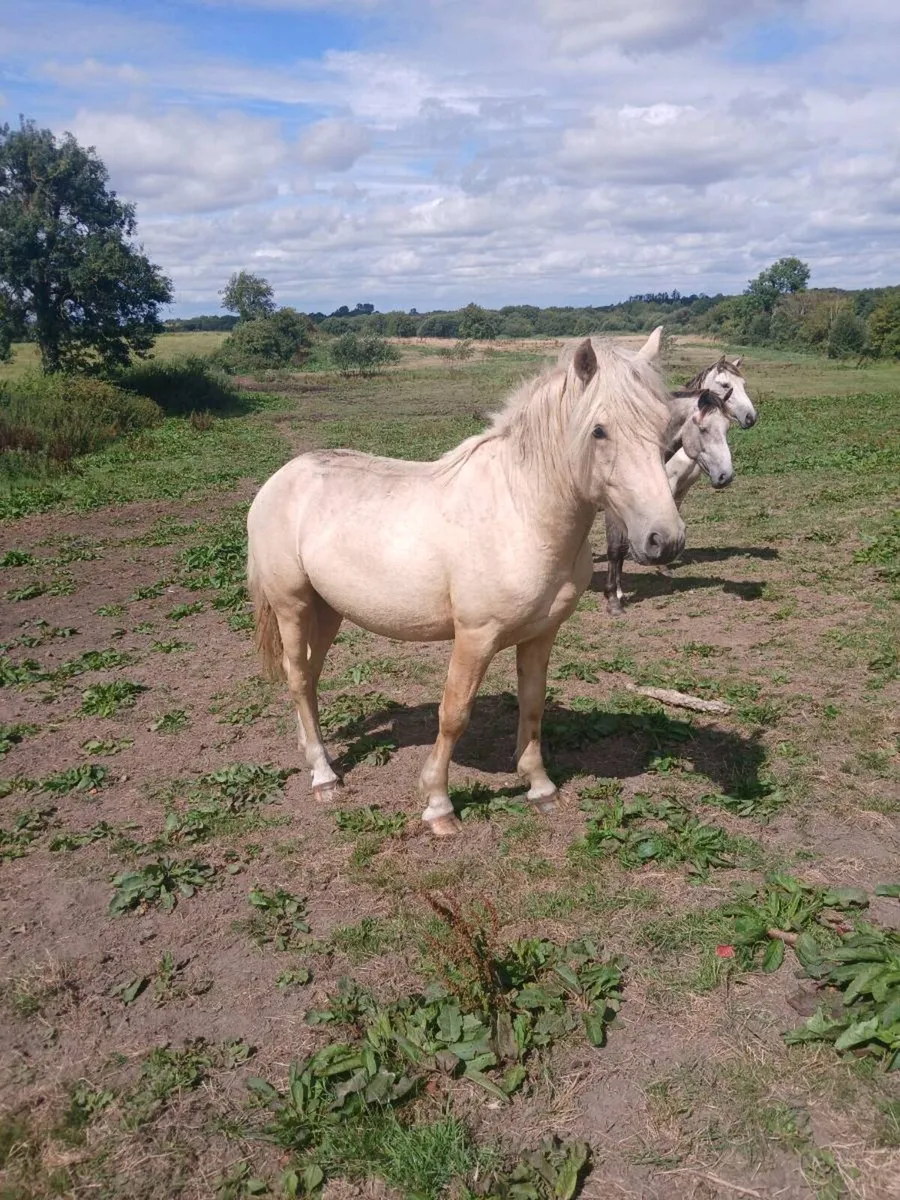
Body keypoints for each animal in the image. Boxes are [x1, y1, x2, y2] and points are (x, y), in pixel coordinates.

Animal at [246, 332, 685, 837]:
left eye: (666, 427)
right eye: (599, 431)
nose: (665, 540)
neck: (520, 510)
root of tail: (280, 479)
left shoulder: (541, 634)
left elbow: (532, 704)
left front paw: (540, 788)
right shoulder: (475, 637)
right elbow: (454, 714)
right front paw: (438, 804)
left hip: (328, 610)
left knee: (308, 675)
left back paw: (311, 750)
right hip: (293, 605)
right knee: (299, 677)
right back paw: (323, 775)